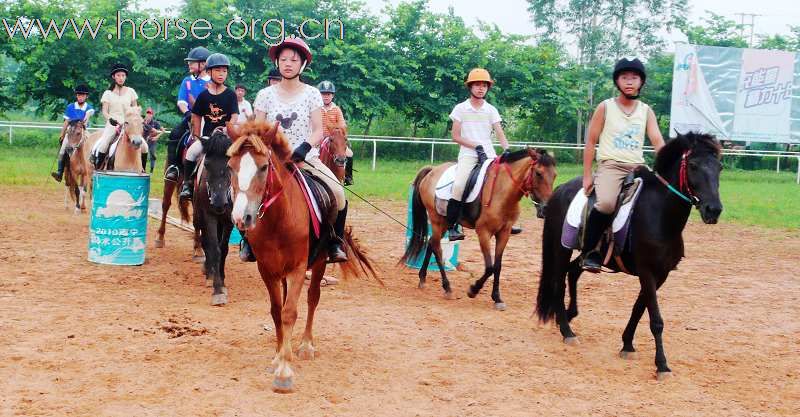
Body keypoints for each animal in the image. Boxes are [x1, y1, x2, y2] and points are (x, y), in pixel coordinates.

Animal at [225, 121, 376, 394]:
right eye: (231, 167)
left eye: (264, 167)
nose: (242, 218)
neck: (278, 219)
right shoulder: (267, 269)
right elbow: (277, 311)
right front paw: (278, 356)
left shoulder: (298, 267)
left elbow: (290, 312)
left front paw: (284, 372)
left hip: (319, 263)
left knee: (313, 298)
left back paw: (305, 346)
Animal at [400, 147, 556, 308]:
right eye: (538, 173)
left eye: (555, 175)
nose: (546, 209)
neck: (502, 191)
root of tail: (432, 170)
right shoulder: (484, 232)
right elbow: (489, 267)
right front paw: (473, 290)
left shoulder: (504, 233)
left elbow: (497, 266)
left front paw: (497, 298)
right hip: (437, 221)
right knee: (437, 248)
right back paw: (447, 287)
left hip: (443, 223)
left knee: (431, 243)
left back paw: (422, 278)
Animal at [536, 132, 724, 378]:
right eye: (693, 165)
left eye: (719, 167)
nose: (714, 209)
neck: (661, 215)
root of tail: (559, 190)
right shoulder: (646, 271)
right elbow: (656, 320)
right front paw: (662, 365)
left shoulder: (660, 275)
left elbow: (639, 309)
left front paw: (627, 345)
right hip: (561, 248)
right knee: (558, 283)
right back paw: (567, 332)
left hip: (584, 253)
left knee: (573, 273)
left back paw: (567, 317)